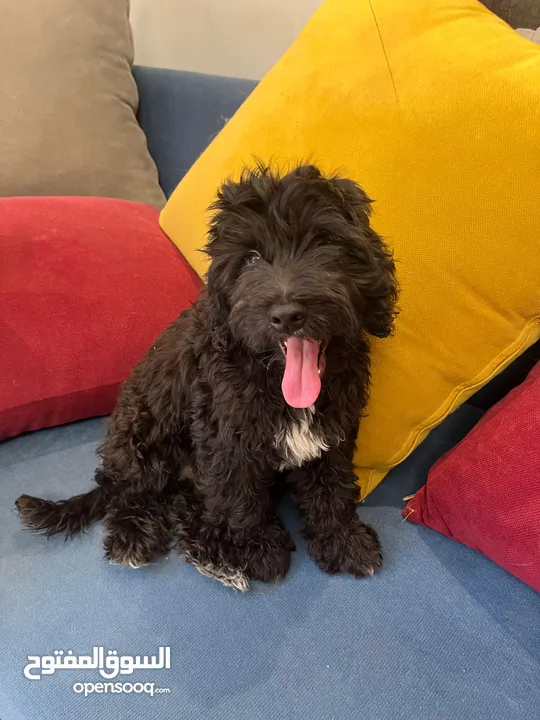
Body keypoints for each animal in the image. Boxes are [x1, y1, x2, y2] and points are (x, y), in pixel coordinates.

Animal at [15, 166, 396, 592]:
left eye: (324, 245)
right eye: (250, 259)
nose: (286, 314)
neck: (273, 375)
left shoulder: (333, 429)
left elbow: (332, 481)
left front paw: (342, 540)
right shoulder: (226, 435)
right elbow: (239, 495)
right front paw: (256, 549)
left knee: (184, 503)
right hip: (141, 430)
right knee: (132, 491)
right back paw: (141, 536)